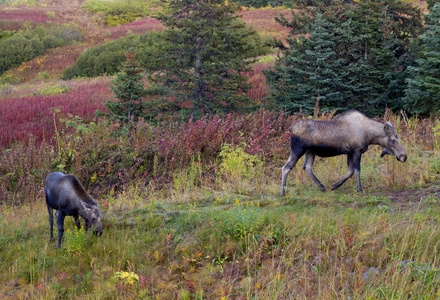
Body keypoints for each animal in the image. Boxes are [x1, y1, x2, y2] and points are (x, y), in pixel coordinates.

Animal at [280, 109, 408, 196]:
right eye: (393, 140)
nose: (404, 156)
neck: (370, 135)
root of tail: (290, 129)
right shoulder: (356, 151)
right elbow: (357, 170)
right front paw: (359, 188)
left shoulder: (349, 152)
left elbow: (350, 172)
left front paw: (335, 186)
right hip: (297, 150)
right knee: (286, 167)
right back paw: (282, 192)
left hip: (310, 152)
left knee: (307, 167)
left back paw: (322, 187)